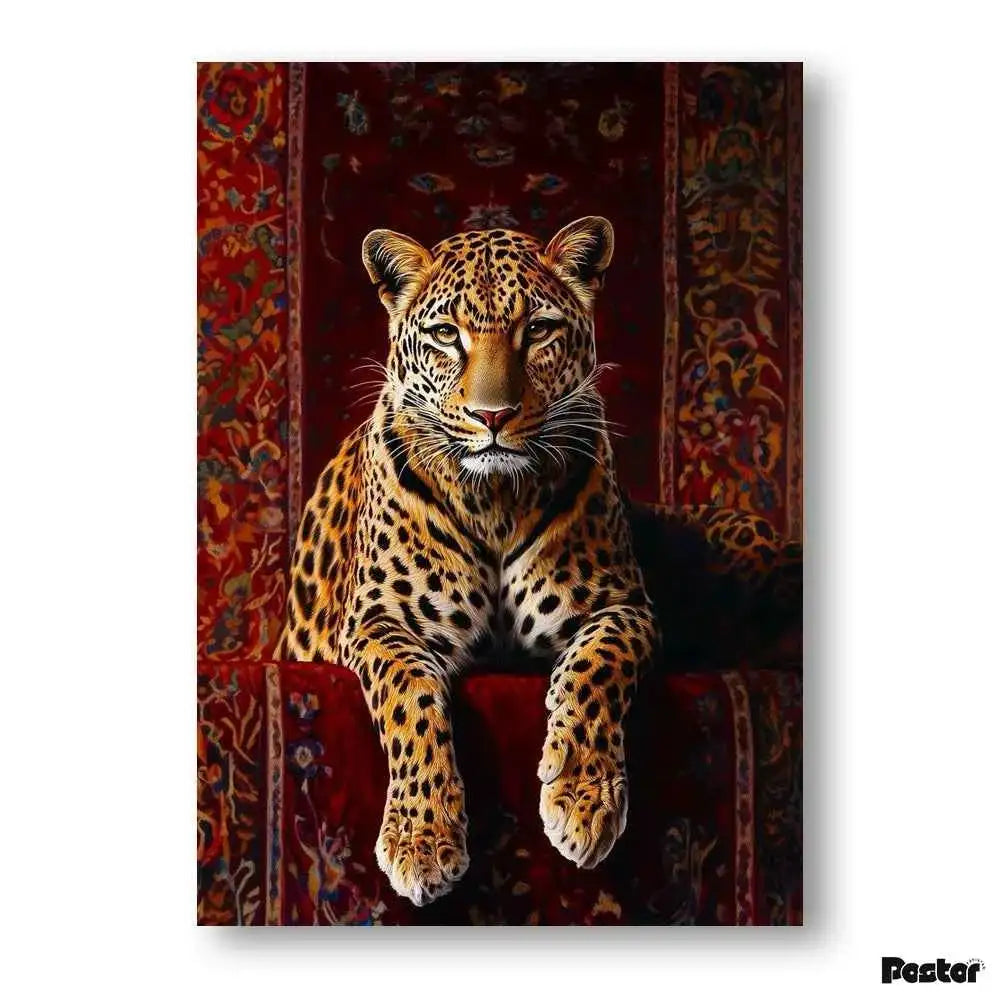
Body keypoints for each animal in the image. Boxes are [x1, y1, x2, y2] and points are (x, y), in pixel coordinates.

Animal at [283, 216, 660, 906]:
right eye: (445, 336)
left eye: (536, 331)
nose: (493, 416)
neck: (496, 499)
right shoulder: (381, 619)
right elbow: (410, 690)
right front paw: (422, 837)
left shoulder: (624, 605)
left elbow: (598, 665)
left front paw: (583, 799)